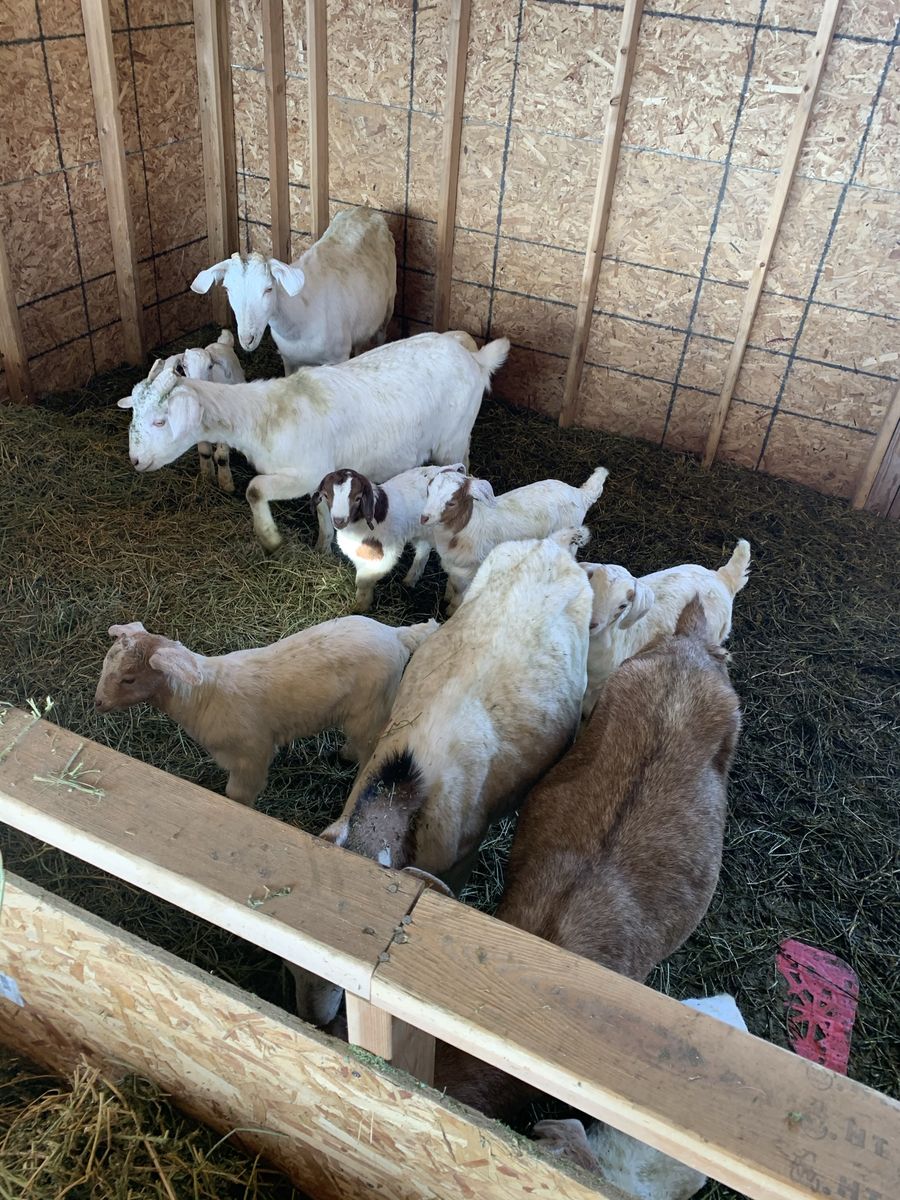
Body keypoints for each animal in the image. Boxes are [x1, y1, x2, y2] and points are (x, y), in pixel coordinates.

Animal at [93, 616, 439, 806]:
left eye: (129, 678)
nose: (97, 703)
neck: (202, 695)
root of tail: (396, 634)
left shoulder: (251, 756)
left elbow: (238, 795)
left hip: (370, 708)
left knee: (370, 749)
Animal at [150, 329, 245, 493]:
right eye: (184, 366)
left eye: (210, 366)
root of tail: (221, 343)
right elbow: (205, 453)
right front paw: (207, 477)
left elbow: (221, 457)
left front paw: (226, 484)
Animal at [190, 207, 396, 374]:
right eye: (227, 289)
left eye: (269, 288)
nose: (247, 339)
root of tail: (364, 210)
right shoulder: (289, 360)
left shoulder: (338, 356)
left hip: (388, 305)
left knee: (381, 333)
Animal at [312, 464, 452, 612]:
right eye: (326, 496)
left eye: (358, 498)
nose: (339, 520)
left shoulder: (383, 557)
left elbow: (363, 581)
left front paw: (360, 607)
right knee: (423, 550)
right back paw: (410, 579)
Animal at [419, 464, 609, 612]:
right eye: (428, 490)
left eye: (452, 503)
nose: (424, 518)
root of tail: (580, 494)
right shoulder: (454, 569)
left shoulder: (471, 573)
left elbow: (460, 597)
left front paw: (450, 611)